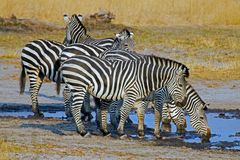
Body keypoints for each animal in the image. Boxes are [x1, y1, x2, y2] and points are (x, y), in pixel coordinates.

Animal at [57, 53, 189, 136]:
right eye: (181, 85)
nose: (183, 102)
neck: (144, 77)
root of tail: (67, 61)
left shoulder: (140, 97)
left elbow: (141, 113)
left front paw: (141, 132)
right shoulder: (131, 93)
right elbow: (125, 111)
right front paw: (121, 132)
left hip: (77, 88)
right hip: (78, 87)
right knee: (75, 108)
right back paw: (83, 131)